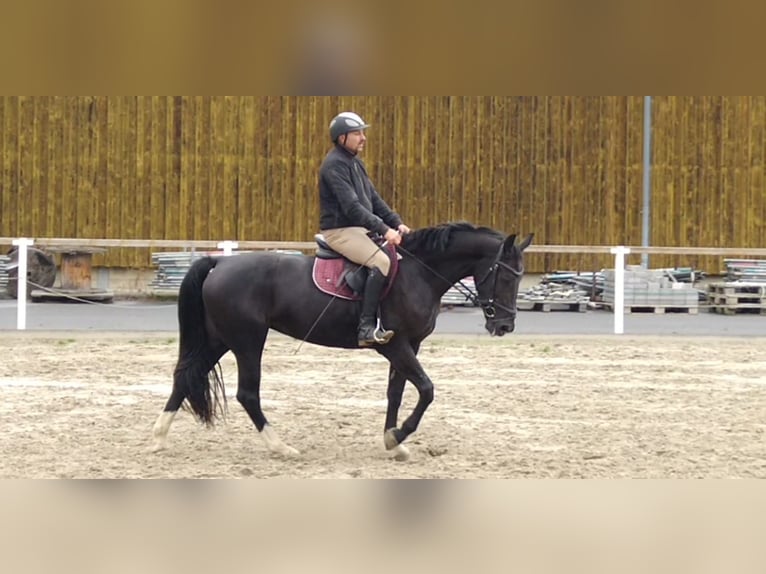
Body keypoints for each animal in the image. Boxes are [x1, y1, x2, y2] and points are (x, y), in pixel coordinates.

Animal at [150, 223, 536, 462]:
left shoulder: (409, 346)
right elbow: (426, 390)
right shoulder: (395, 345)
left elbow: (396, 392)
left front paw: (392, 442)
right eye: (504, 276)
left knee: (185, 377)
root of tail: (219, 265)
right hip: (247, 341)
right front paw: (399, 436)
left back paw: (159, 438)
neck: (420, 274)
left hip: (220, 338)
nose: (504, 325)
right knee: (247, 393)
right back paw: (281, 448)